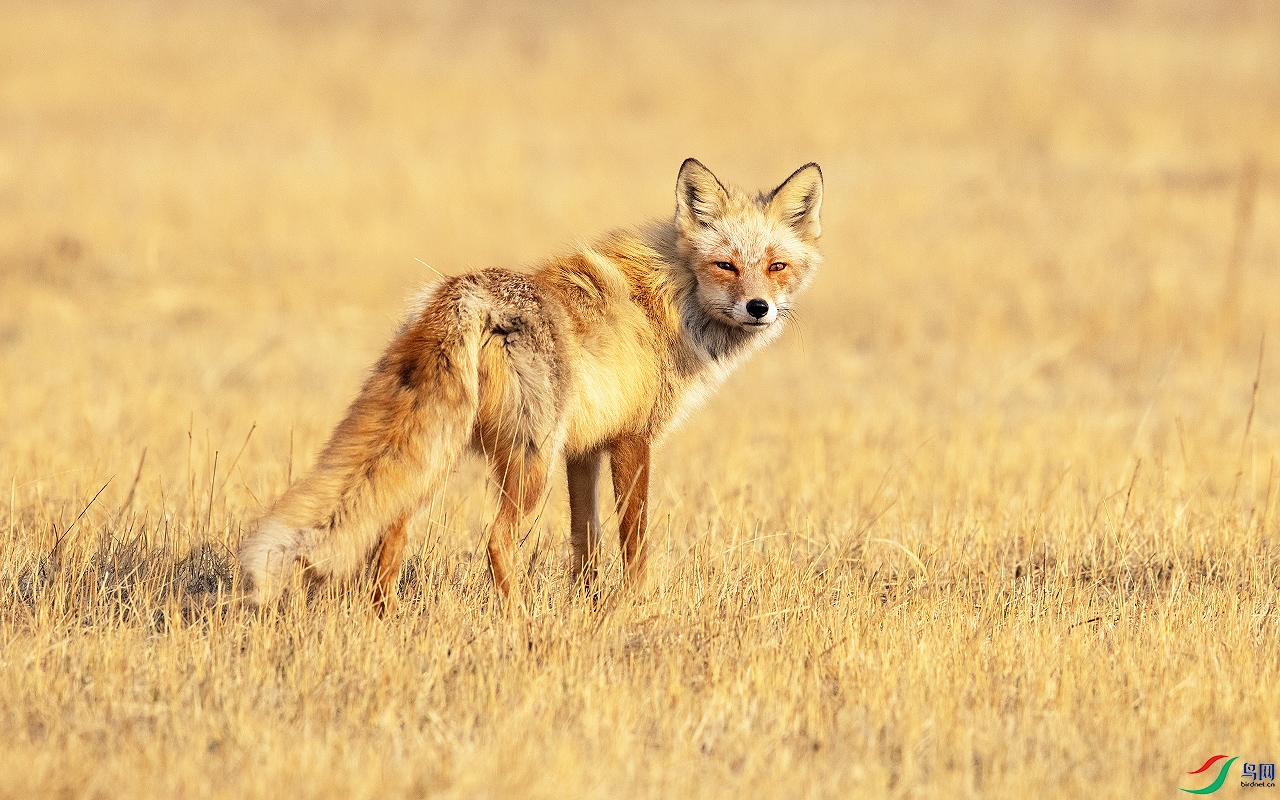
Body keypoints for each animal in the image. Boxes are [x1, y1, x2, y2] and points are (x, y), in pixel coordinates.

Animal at [235, 159, 824, 614]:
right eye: (725, 265)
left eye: (777, 266)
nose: (759, 308)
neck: (671, 297)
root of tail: (467, 294)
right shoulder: (633, 440)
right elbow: (634, 543)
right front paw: (633, 608)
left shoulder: (584, 449)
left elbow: (586, 541)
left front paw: (586, 606)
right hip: (528, 461)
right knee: (496, 542)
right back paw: (517, 625)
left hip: (440, 455)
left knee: (391, 531)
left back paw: (387, 621)